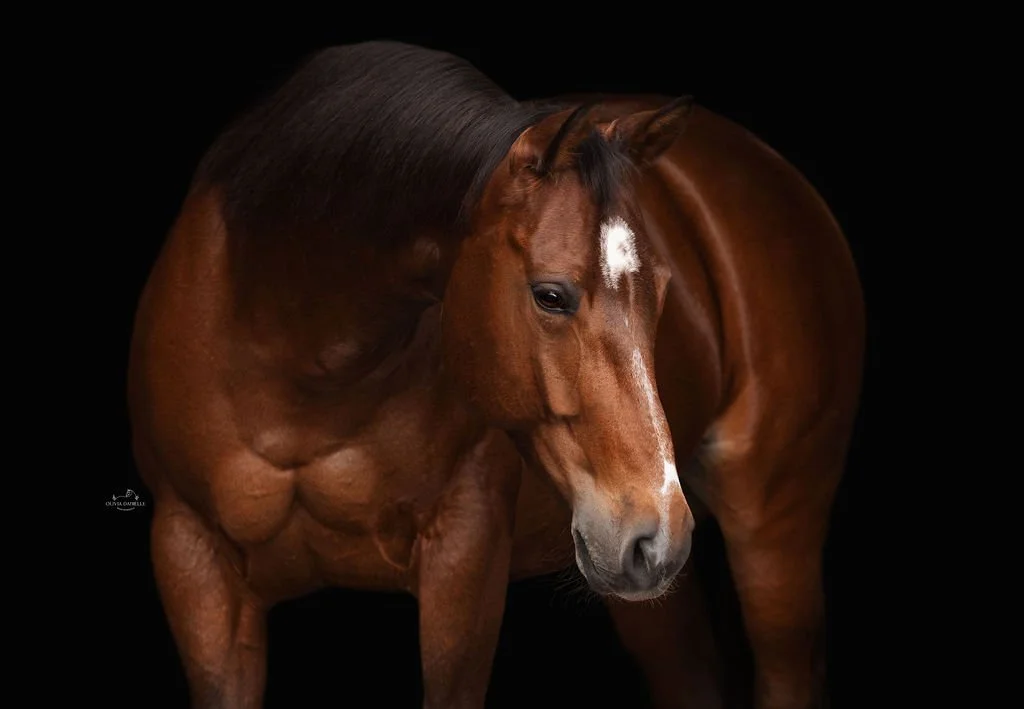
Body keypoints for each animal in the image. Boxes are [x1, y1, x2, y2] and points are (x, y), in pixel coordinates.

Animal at [127, 41, 864, 709]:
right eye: (550, 294)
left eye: (661, 292)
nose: (657, 533)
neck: (297, 372)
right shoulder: (193, 566)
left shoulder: (465, 557)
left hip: (772, 534)